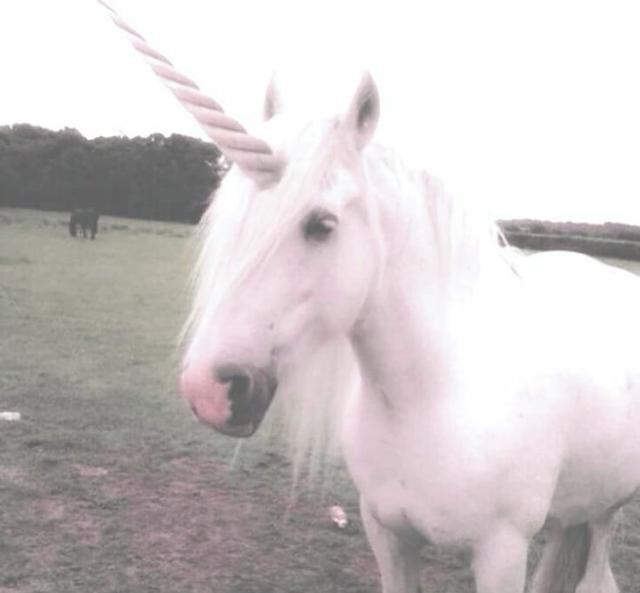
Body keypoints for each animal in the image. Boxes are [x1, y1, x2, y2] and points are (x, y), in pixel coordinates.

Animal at [98, 5, 640, 591]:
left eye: (321, 225)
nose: (209, 391)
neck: (432, 397)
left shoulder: (501, 553)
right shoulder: (387, 534)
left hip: (608, 507)